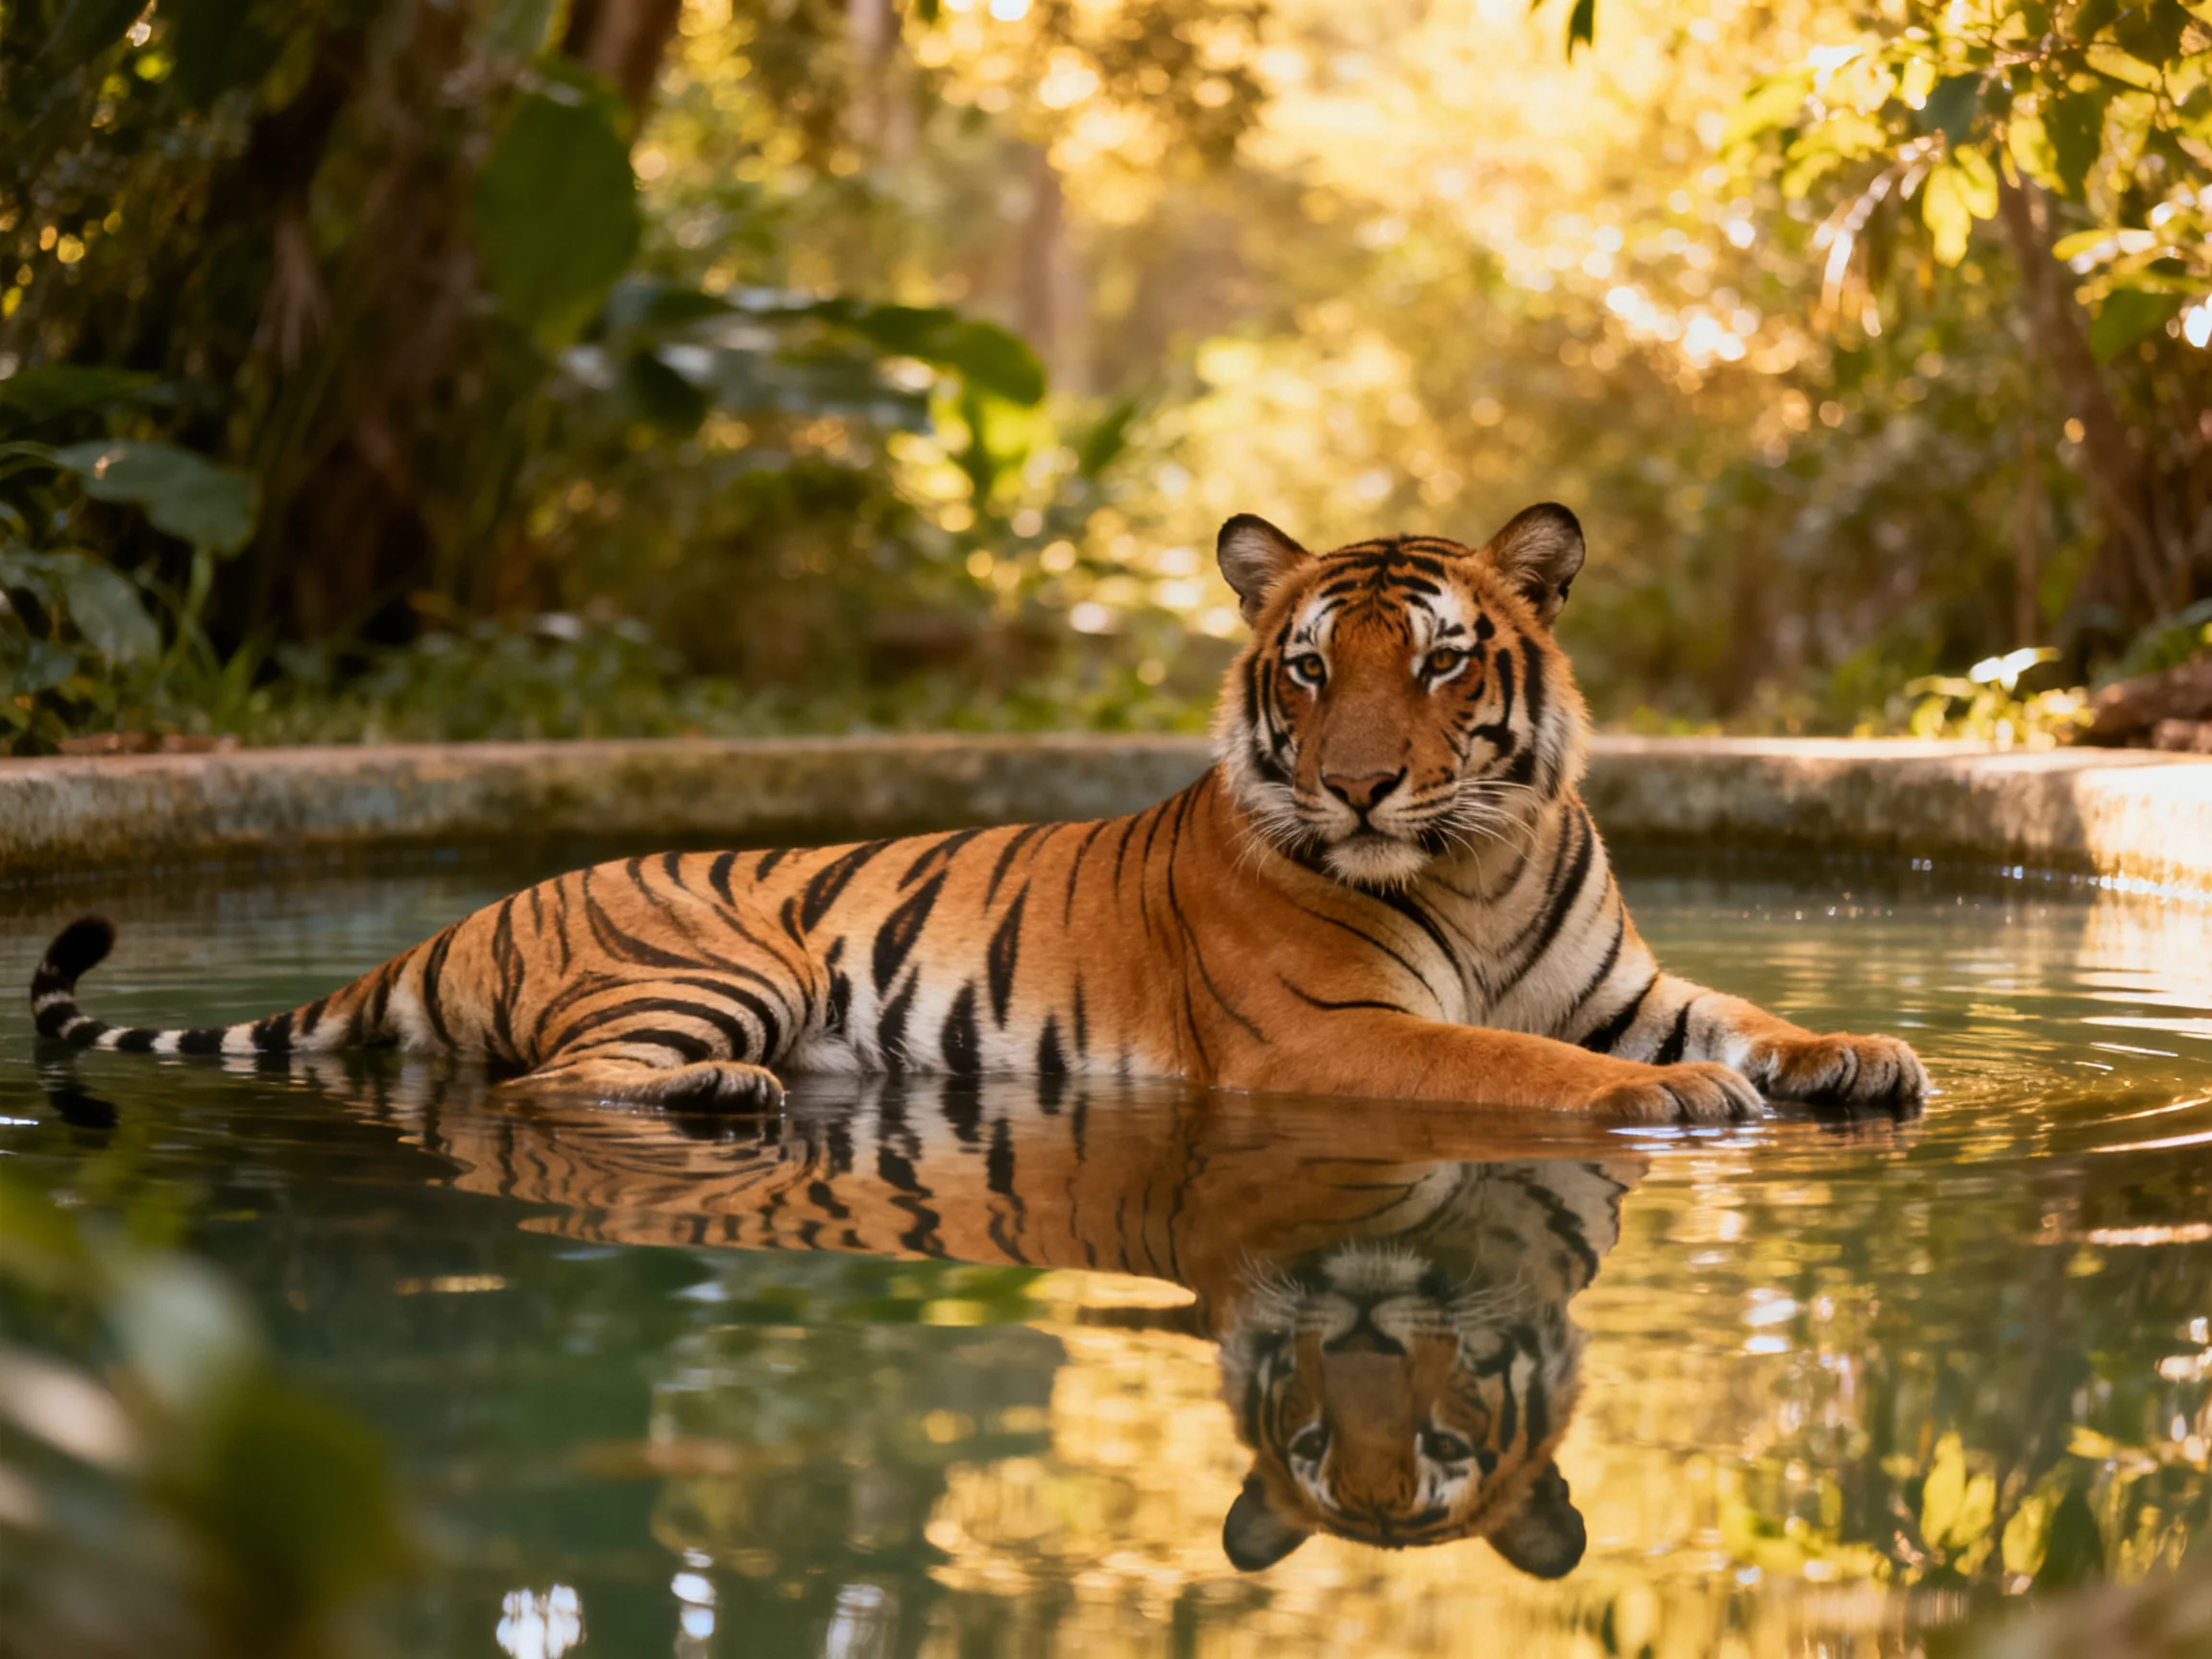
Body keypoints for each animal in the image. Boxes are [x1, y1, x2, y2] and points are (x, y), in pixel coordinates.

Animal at [29, 503, 1928, 1121]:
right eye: (1313, 671)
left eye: (1446, 661)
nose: (1358, 782)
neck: (1478, 856)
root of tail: (456, 915)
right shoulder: (1333, 1030)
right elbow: (1521, 1063)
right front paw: (1668, 1101)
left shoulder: (1614, 975)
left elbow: (1736, 1010)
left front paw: (1854, 1055)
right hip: (720, 962)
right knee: (548, 1088)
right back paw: (723, 1099)